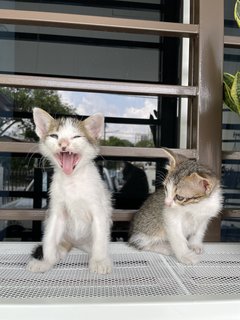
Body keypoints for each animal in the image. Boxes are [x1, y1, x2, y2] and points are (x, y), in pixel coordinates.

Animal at [26, 109, 113, 274]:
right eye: (54, 136)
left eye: (76, 136)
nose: (63, 144)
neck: (72, 180)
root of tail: (76, 243)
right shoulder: (56, 212)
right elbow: (49, 237)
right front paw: (46, 261)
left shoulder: (98, 210)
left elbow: (100, 238)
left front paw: (99, 261)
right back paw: (57, 251)